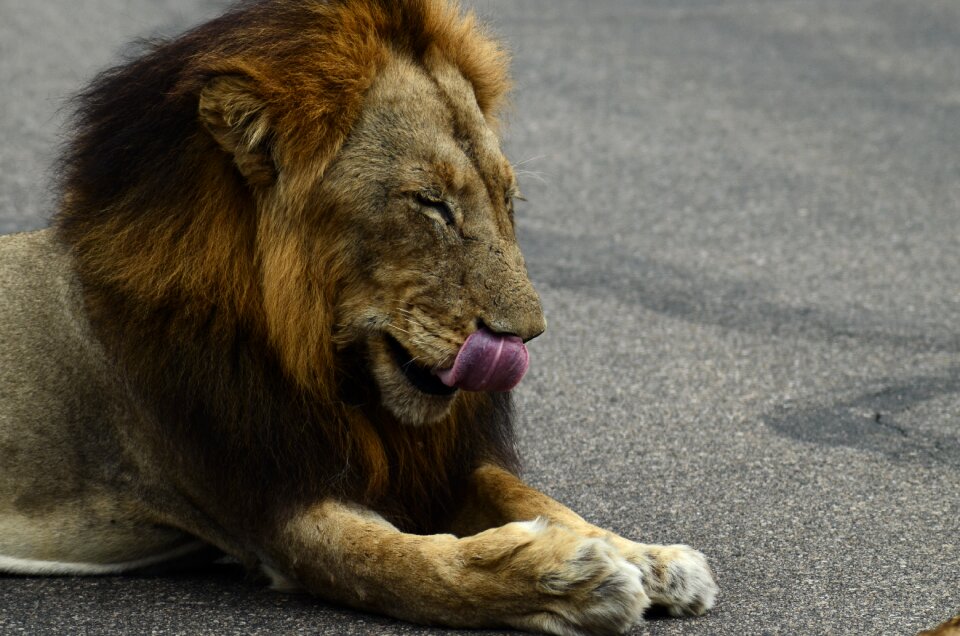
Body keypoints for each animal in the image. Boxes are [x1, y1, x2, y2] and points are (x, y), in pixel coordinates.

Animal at [0, 2, 716, 632]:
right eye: (431, 203)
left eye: (508, 198)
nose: (526, 335)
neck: (313, 357)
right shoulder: (276, 507)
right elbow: (407, 567)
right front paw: (569, 581)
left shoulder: (423, 460)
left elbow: (530, 495)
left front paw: (650, 558)